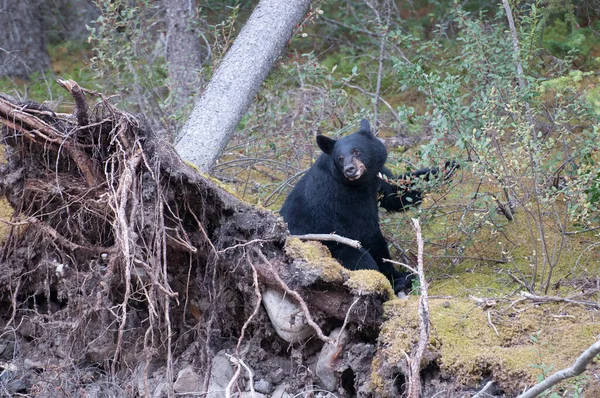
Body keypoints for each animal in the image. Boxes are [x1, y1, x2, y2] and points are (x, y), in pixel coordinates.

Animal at [282, 118, 454, 292]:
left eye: (356, 151)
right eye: (340, 158)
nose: (350, 169)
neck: (359, 183)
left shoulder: (376, 177)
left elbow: (397, 193)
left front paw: (447, 168)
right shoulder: (343, 199)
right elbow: (367, 231)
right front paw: (396, 276)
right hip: (327, 247)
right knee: (359, 258)